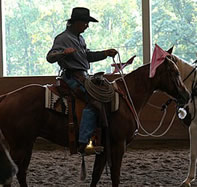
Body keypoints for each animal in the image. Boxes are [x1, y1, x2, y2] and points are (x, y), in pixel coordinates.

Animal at [0, 55, 189, 187]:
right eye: (175, 73)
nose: (186, 95)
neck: (126, 98)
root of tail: (7, 96)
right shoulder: (118, 146)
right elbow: (115, 177)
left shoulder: (103, 148)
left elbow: (96, 175)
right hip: (18, 147)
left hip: (27, 144)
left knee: (21, 173)